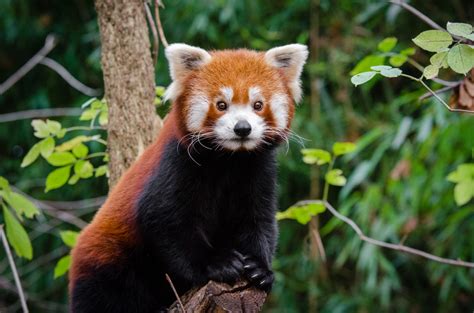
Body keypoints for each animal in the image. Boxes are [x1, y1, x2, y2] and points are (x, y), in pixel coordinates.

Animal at [69, 42, 308, 310]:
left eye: (258, 104)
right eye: (221, 105)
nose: (242, 128)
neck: (229, 159)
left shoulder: (258, 171)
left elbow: (257, 219)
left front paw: (260, 268)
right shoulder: (177, 164)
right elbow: (166, 221)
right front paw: (217, 264)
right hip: (108, 265)